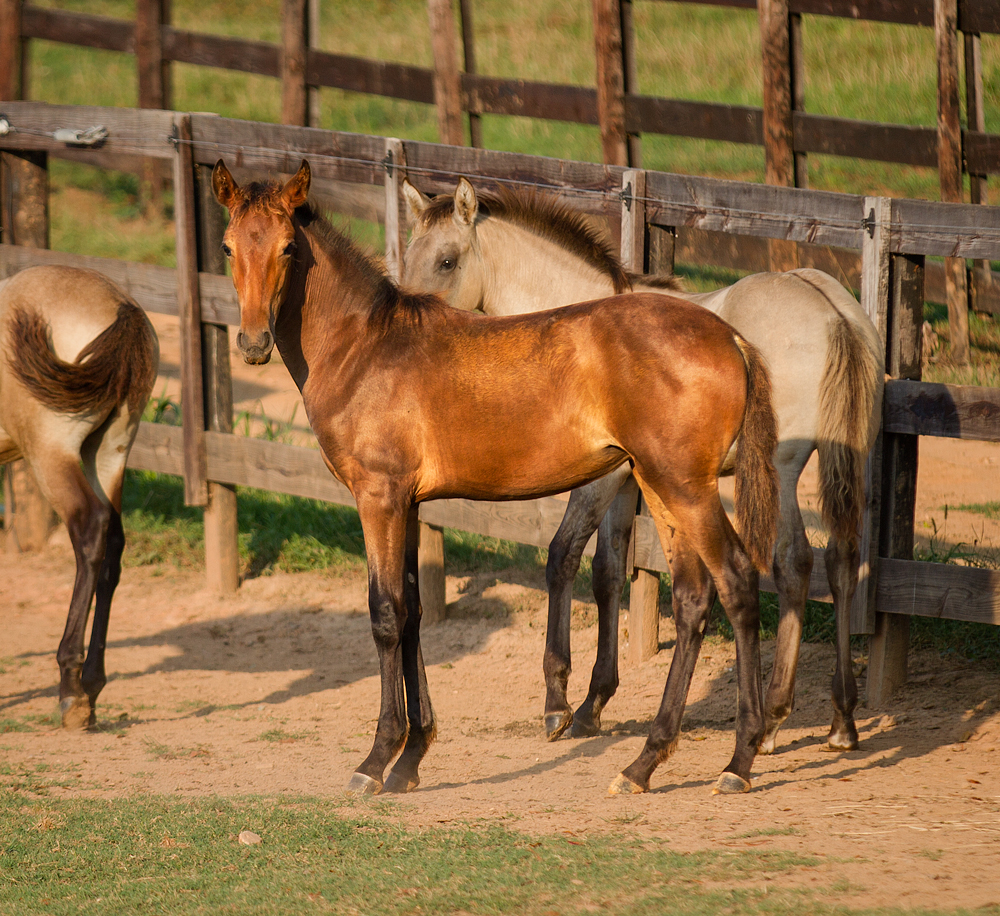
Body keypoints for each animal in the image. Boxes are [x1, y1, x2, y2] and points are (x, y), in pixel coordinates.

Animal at [0, 264, 158, 728]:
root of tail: (119, 306)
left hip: (52, 455)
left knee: (90, 527)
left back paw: (71, 690)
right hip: (109, 453)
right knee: (112, 547)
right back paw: (92, 683)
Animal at [402, 175, 888, 756]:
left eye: (447, 261)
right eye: (409, 254)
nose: (408, 319)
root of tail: (832, 311)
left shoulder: (603, 476)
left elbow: (563, 555)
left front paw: (558, 703)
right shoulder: (627, 480)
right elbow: (609, 569)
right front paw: (593, 702)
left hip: (782, 469)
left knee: (795, 564)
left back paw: (772, 721)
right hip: (845, 457)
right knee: (842, 561)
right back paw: (840, 719)